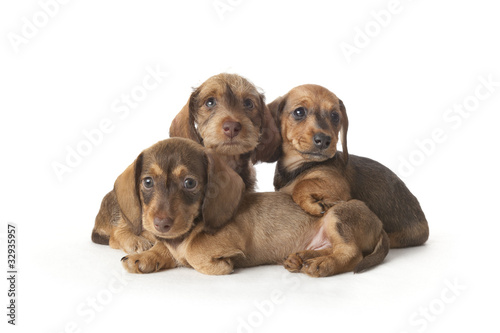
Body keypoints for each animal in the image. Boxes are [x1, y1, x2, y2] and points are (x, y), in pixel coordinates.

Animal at [119, 136, 388, 276]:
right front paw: (146, 256)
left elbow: (194, 250)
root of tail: (379, 224)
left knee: (350, 253)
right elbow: (166, 249)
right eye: (147, 182)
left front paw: (216, 264)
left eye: (189, 182)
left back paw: (323, 265)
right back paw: (300, 259)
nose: (161, 224)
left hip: (337, 215)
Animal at [270, 84, 430, 248]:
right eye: (299, 112)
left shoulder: (337, 186)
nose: (324, 140)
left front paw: (313, 205)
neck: (298, 167)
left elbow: (301, 185)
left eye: (335, 116)